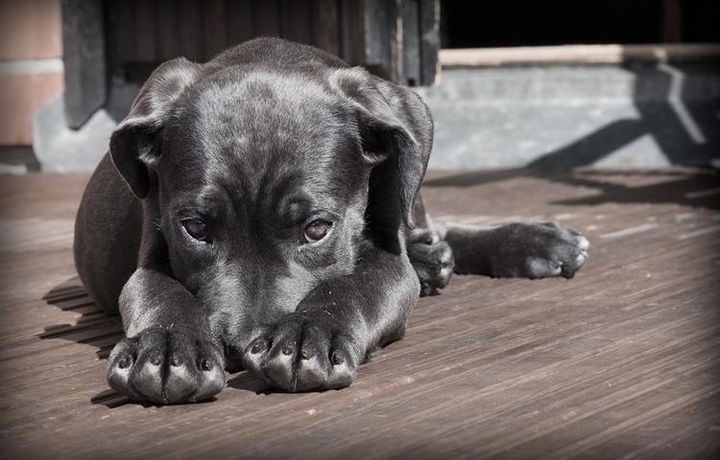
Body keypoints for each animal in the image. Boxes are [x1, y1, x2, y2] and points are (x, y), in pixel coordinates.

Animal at [74, 37, 592, 404]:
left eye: (317, 229)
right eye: (195, 229)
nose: (241, 349)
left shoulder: (388, 261)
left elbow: (353, 285)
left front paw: (310, 333)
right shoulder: (151, 251)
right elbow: (159, 291)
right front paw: (165, 347)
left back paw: (532, 242)